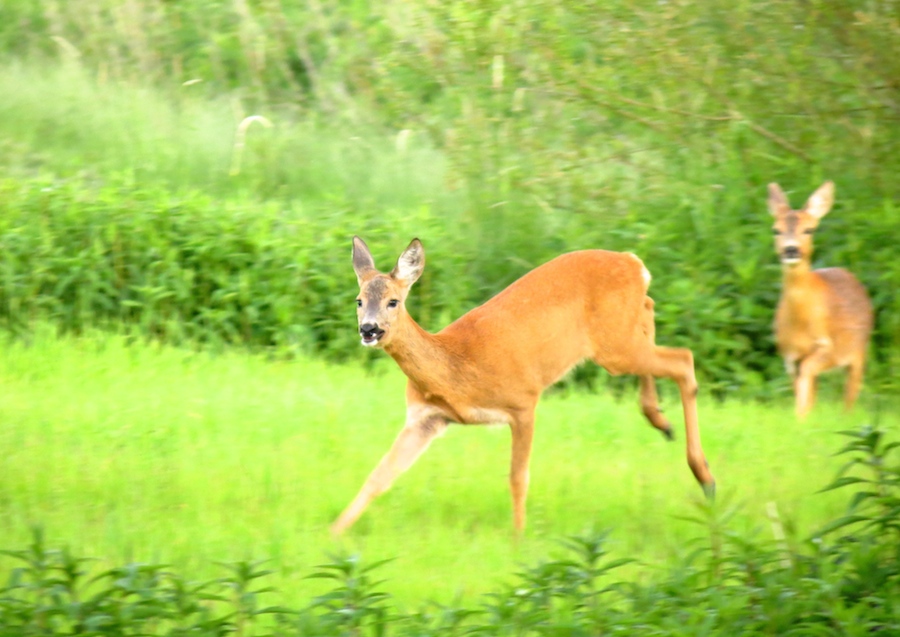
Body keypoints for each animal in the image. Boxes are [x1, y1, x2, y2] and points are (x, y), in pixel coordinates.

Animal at [330, 236, 716, 536]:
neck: (456, 369)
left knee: (683, 360)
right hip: (621, 339)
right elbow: (380, 475)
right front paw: (334, 534)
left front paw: (518, 539)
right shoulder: (426, 418)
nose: (369, 329)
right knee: (653, 317)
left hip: (615, 347)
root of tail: (634, 262)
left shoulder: (523, 401)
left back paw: (705, 477)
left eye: (393, 301)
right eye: (359, 300)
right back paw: (662, 422)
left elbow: (518, 477)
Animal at [768, 179, 872, 420]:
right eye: (776, 230)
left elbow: (807, 374)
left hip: (859, 349)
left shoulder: (828, 347)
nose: (791, 249)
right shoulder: (788, 355)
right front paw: (802, 417)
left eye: (809, 229)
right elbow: (802, 384)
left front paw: (800, 417)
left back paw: (846, 417)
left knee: (851, 392)